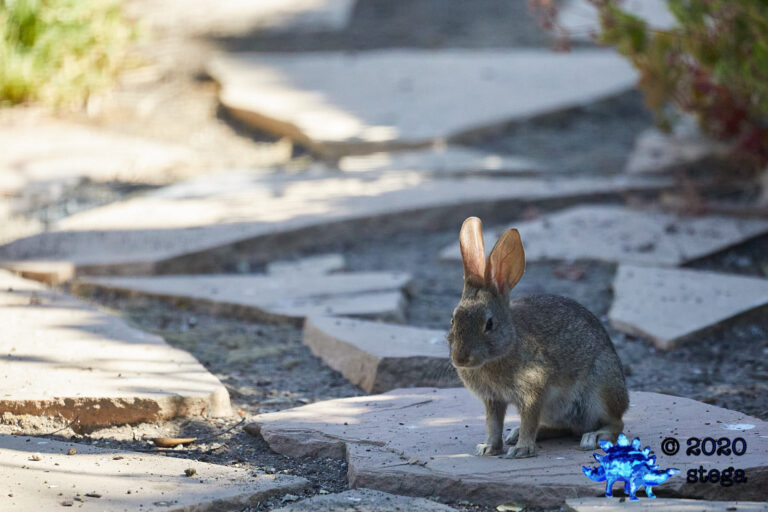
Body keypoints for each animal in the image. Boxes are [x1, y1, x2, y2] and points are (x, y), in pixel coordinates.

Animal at [447, 216, 628, 459]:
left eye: (489, 324)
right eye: (453, 320)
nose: (461, 359)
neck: (507, 346)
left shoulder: (533, 392)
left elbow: (528, 420)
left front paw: (521, 450)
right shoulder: (493, 399)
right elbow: (493, 424)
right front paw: (489, 448)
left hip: (601, 389)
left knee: (617, 423)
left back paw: (594, 437)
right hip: (557, 410)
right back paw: (516, 434)